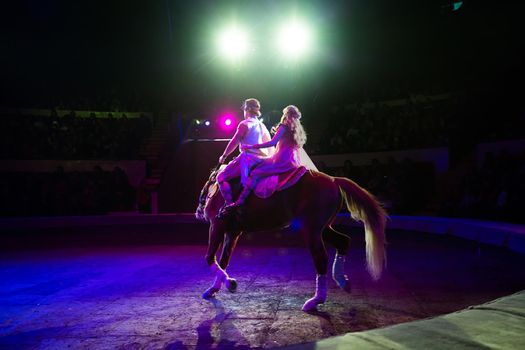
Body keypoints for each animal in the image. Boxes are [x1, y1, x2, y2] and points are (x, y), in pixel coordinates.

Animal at [194, 167, 386, 312]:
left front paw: (230, 283)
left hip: (312, 230)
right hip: (323, 228)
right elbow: (223, 260)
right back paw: (342, 280)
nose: (198, 212)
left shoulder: (217, 226)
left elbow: (210, 257)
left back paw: (315, 300)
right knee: (343, 241)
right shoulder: (232, 233)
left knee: (321, 258)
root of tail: (333, 180)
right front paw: (215, 288)